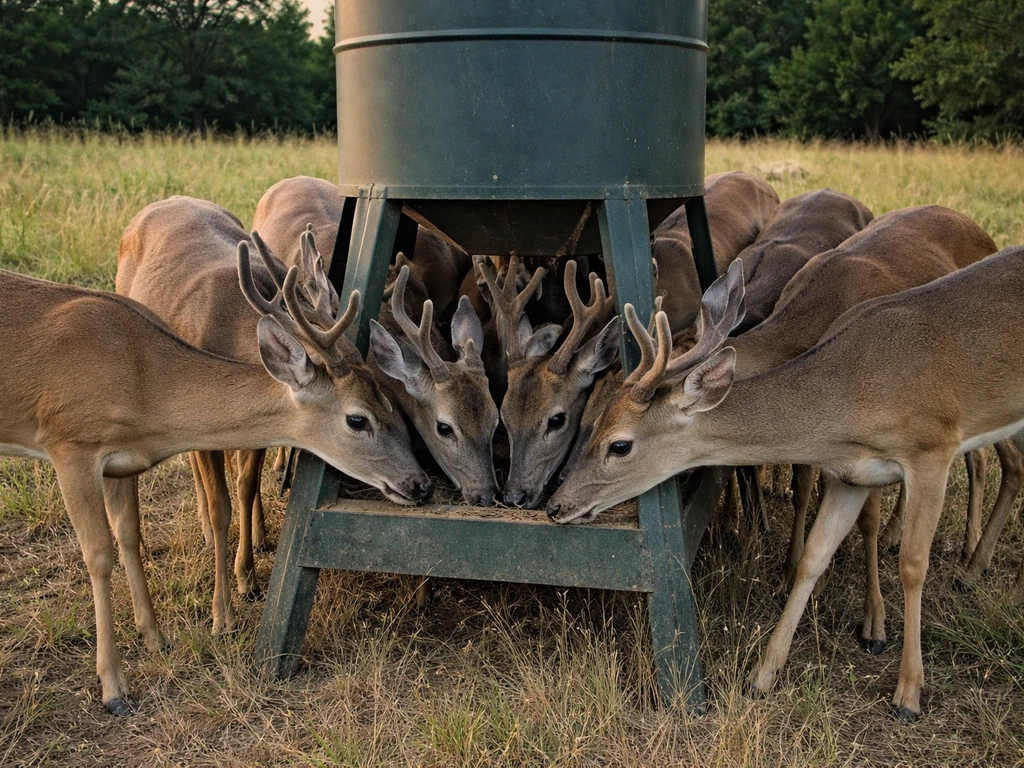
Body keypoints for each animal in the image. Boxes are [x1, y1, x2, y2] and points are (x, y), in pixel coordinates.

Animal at [0, 242, 431, 715]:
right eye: (358, 419)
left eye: (391, 403)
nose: (420, 484)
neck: (141, 380)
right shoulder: (70, 444)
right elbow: (98, 556)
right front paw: (114, 687)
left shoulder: (120, 460)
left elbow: (128, 534)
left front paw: (155, 637)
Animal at [549, 243, 1024, 721]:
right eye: (593, 419)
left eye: (619, 445)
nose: (556, 505)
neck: (855, 396)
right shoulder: (852, 474)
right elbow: (814, 556)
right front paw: (760, 676)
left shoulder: (932, 447)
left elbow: (912, 564)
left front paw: (908, 693)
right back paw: (976, 569)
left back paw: (971, 571)